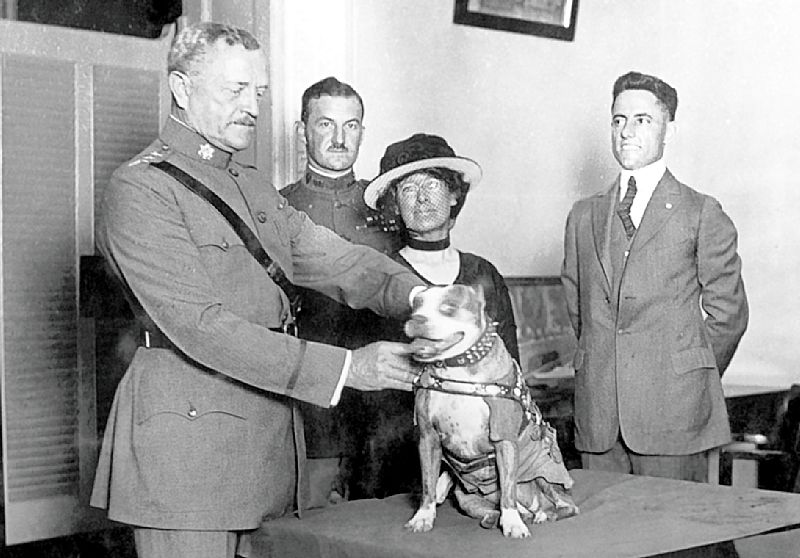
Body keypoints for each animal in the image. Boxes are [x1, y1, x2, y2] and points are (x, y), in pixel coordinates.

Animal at [404, 286, 580, 540]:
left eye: (449, 307)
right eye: (415, 306)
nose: (417, 320)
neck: (458, 371)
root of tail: (534, 505)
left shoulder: (503, 440)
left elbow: (507, 489)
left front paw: (513, 524)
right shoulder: (428, 438)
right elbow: (428, 484)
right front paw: (422, 517)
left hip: (542, 475)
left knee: (564, 505)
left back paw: (544, 515)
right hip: (467, 498)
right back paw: (497, 518)